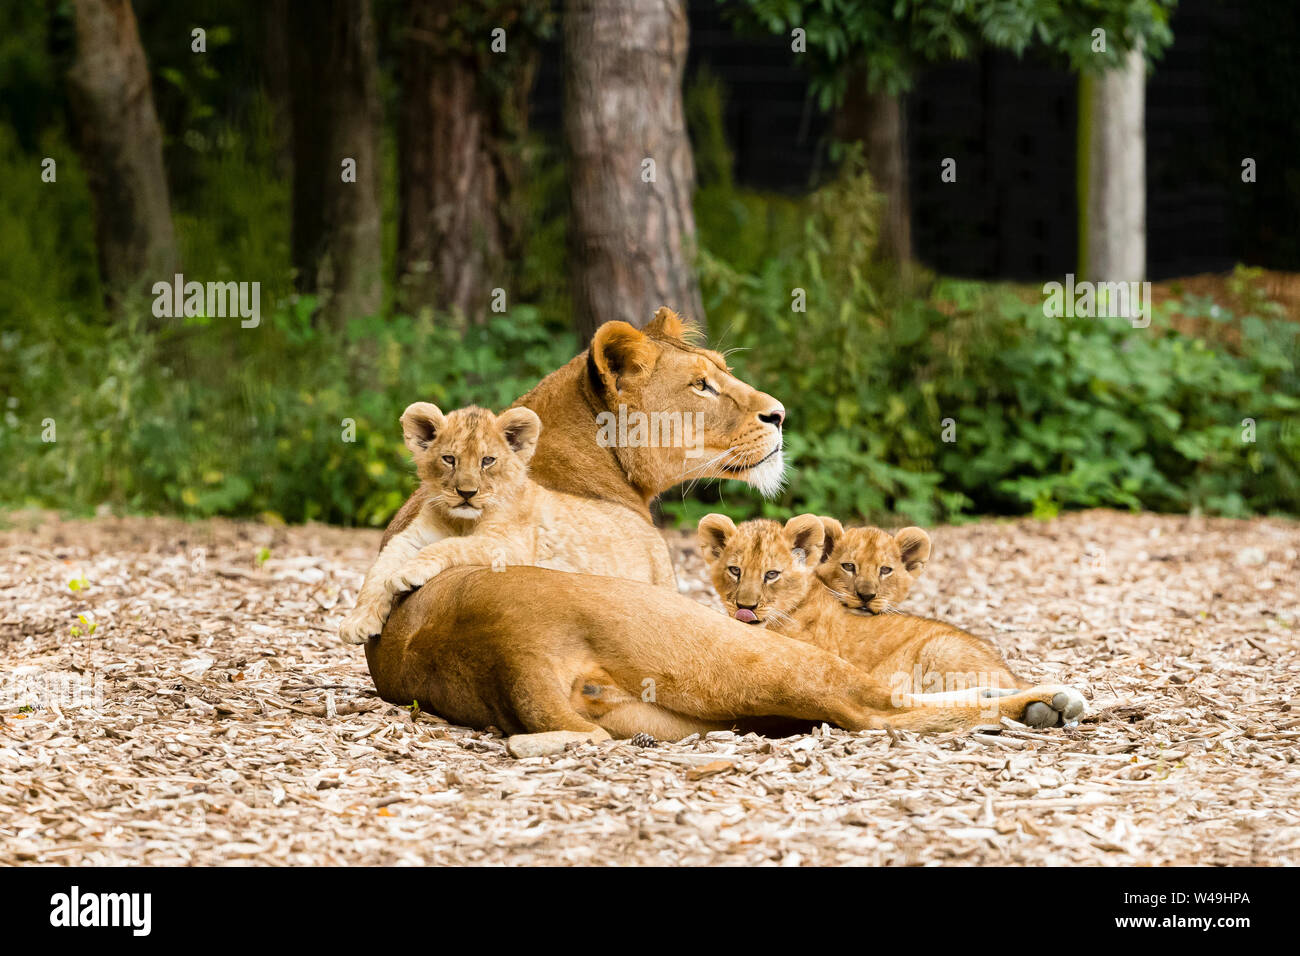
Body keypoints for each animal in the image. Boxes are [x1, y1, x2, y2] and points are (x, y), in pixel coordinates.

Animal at [338, 401, 671, 644]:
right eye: (449, 459)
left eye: (487, 461)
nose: (466, 493)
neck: (462, 522)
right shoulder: (412, 538)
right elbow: (377, 569)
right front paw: (357, 622)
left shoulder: (510, 546)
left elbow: (450, 546)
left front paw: (408, 572)